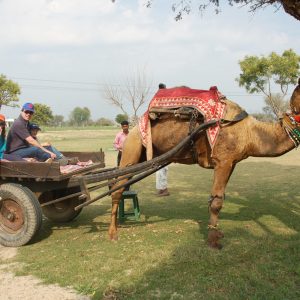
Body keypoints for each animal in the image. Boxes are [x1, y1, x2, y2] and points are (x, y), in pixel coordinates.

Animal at [109, 78, 300, 248]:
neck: (249, 133)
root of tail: (134, 127)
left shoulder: (231, 163)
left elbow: (218, 197)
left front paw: (218, 232)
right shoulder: (223, 161)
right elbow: (216, 202)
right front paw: (213, 241)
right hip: (132, 147)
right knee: (117, 189)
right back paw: (113, 233)